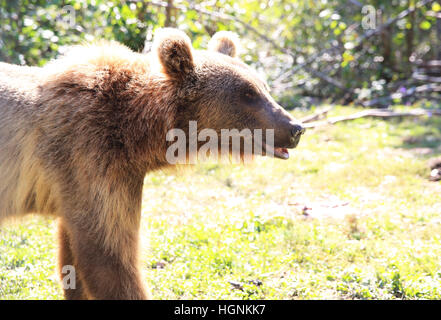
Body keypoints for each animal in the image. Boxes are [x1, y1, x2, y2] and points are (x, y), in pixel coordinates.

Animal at [0, 28, 302, 300]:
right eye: (248, 93)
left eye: (264, 87)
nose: (295, 127)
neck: (136, 130)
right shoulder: (89, 155)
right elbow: (108, 253)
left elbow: (73, 256)